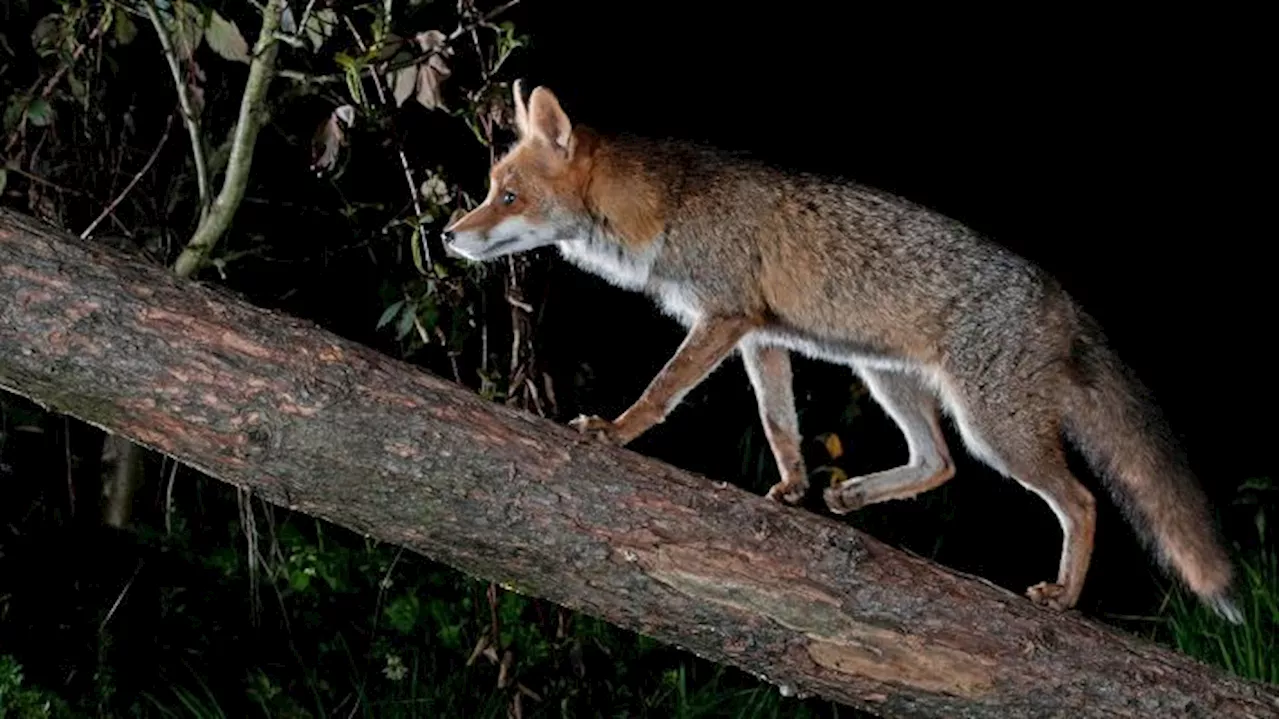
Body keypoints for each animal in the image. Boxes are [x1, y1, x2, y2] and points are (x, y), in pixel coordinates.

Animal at [442, 77, 1239, 616]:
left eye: (507, 197)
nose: (450, 235)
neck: (669, 208)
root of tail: (1062, 299)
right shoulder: (760, 334)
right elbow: (780, 425)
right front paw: (794, 486)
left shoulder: (721, 317)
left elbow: (661, 391)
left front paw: (614, 429)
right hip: (889, 380)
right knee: (939, 463)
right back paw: (852, 493)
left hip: (994, 428)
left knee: (1080, 500)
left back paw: (1065, 596)